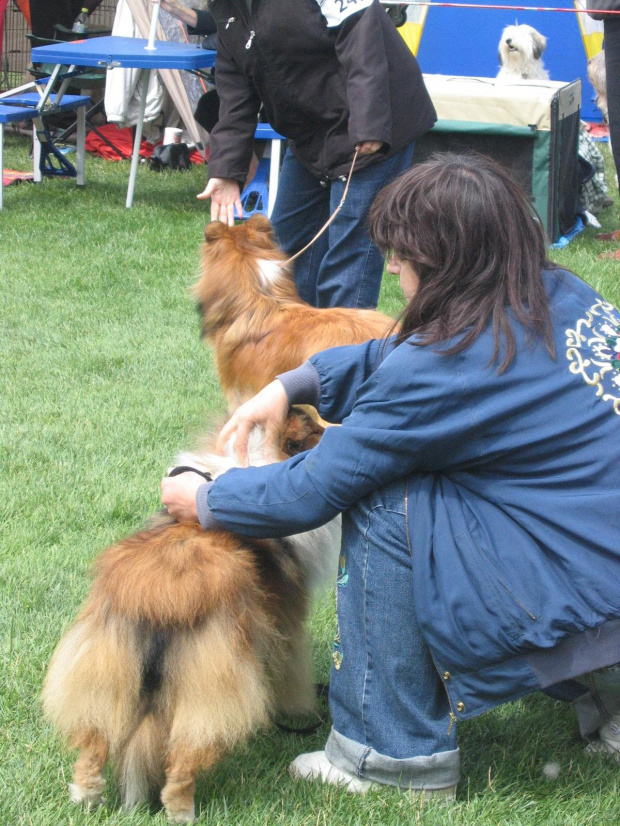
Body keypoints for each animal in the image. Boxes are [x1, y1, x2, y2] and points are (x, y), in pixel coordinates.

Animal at [41, 408, 342, 820]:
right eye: (313, 430)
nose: (337, 433)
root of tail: (160, 598)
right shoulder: (288, 629)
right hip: (214, 688)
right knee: (182, 761)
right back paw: (183, 812)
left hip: (103, 671)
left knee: (93, 746)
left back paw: (87, 799)